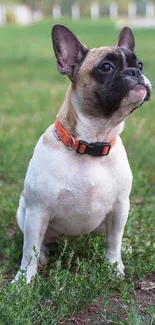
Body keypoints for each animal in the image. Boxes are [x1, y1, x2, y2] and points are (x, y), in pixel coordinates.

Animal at [12, 24, 151, 280]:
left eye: (140, 64)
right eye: (106, 67)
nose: (134, 72)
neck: (92, 142)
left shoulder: (120, 207)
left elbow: (113, 241)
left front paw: (114, 267)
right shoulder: (37, 211)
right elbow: (30, 251)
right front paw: (24, 280)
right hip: (24, 213)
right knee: (39, 243)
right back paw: (44, 256)